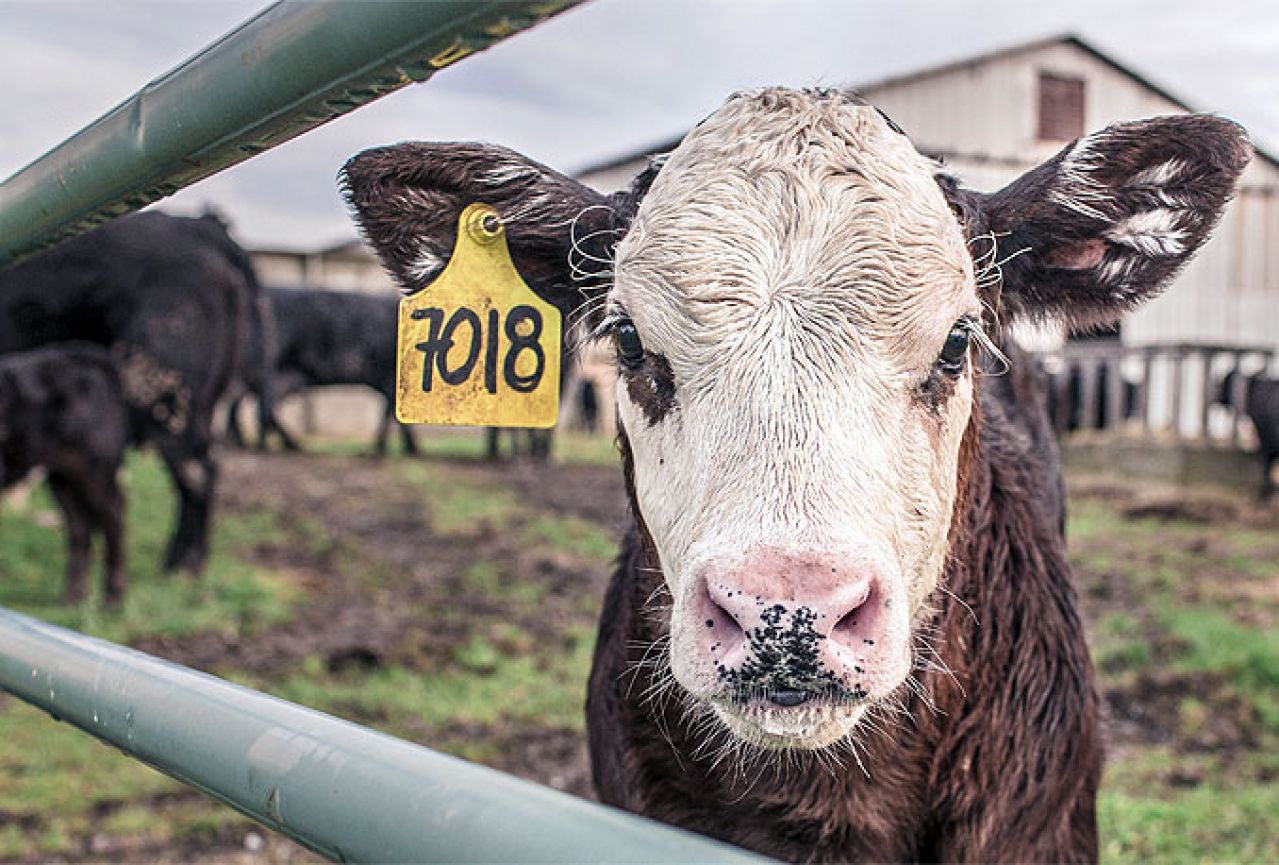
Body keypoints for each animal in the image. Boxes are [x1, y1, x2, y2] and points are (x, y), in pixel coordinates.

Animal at [0, 342, 129, 601]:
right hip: (63, 476)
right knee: (79, 525)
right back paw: (73, 597)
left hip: (95, 470)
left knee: (114, 517)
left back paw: (112, 597)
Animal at [223, 285, 414, 460]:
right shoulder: (390, 378)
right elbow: (392, 414)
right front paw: (394, 450)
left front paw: (405, 449)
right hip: (264, 368)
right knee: (256, 405)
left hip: (280, 375)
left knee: (252, 403)